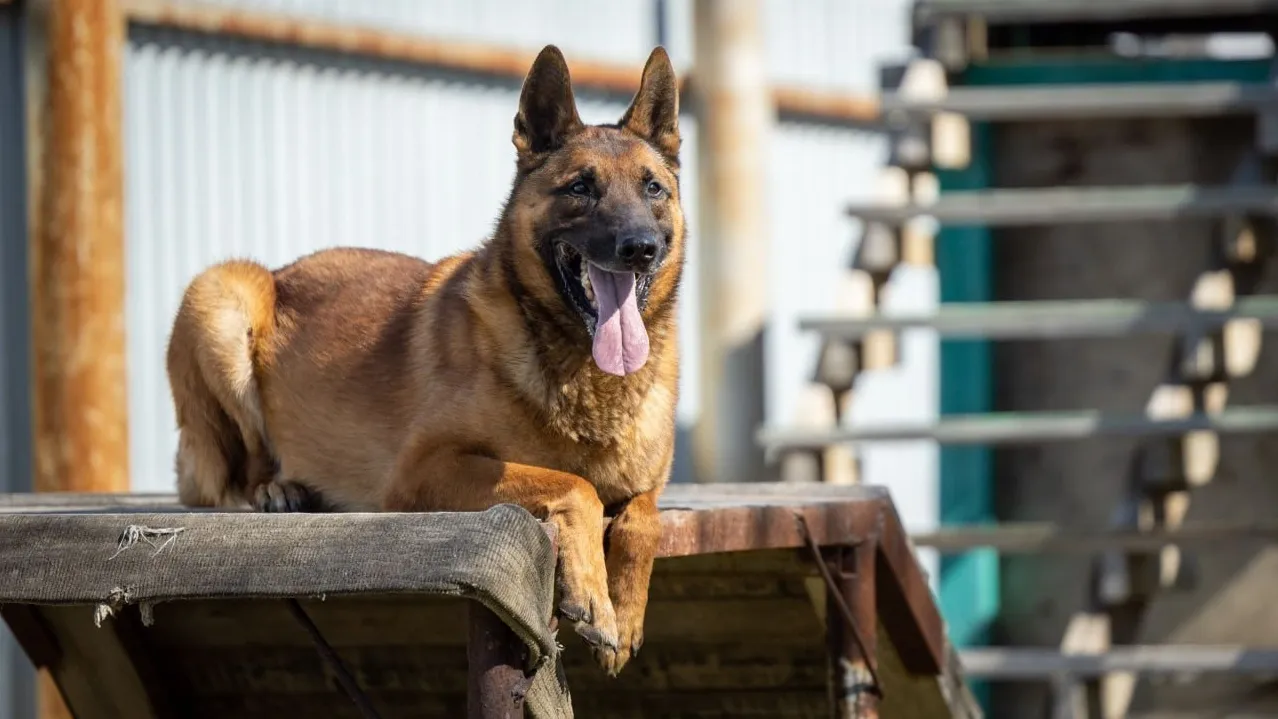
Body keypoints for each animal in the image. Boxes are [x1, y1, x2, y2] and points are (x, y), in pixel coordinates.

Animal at [167, 45, 690, 674]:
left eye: (653, 189)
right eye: (580, 187)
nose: (640, 248)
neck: (581, 372)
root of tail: (282, 269)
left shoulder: (649, 487)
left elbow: (644, 517)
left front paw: (626, 611)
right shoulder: (424, 469)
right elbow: (573, 484)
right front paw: (593, 596)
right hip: (220, 295)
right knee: (228, 478)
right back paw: (276, 489)